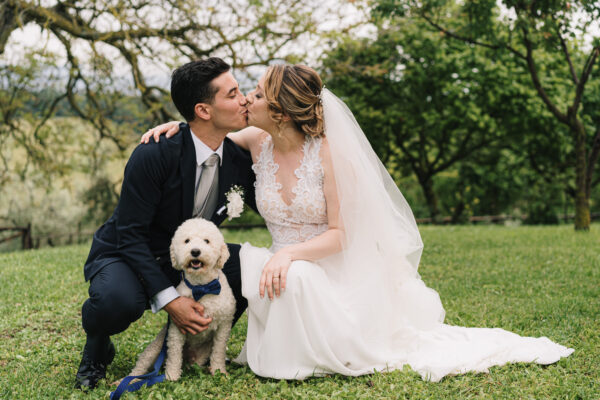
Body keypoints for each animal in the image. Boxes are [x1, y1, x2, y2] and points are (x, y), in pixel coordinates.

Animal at [125, 218, 236, 380]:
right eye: (187, 240)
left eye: (207, 241)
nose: (195, 251)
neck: (201, 287)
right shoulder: (177, 326)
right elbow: (174, 354)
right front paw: (171, 376)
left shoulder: (224, 325)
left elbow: (218, 351)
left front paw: (219, 372)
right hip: (155, 348)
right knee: (141, 365)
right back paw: (128, 381)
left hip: (201, 355)